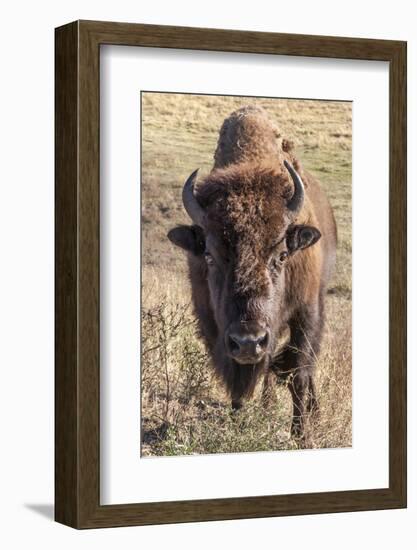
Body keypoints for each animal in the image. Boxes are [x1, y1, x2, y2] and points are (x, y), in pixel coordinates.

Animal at [166, 105, 334, 442]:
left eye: (282, 255)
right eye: (209, 255)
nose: (248, 341)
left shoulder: (307, 312)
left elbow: (300, 373)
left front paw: (301, 435)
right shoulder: (213, 323)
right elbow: (237, 380)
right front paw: (238, 422)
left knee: (305, 370)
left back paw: (314, 412)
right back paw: (267, 406)